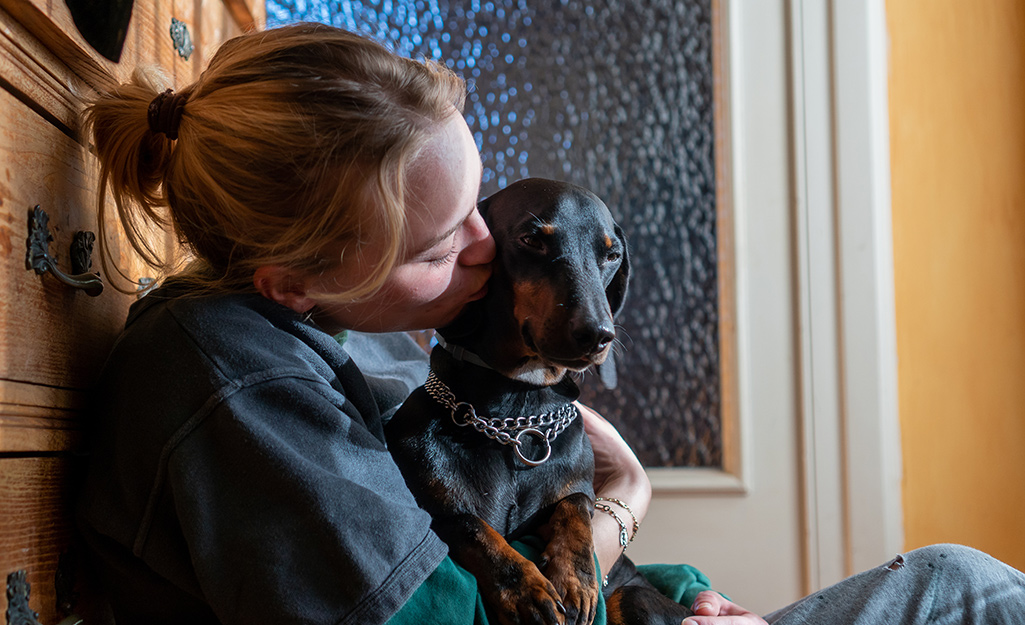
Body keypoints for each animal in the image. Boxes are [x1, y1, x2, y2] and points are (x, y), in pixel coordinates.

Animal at [385, 177, 697, 618]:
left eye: (612, 254)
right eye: (532, 239)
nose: (598, 335)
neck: (519, 418)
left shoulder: (576, 488)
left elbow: (577, 503)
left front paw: (575, 577)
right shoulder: (436, 510)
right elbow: (467, 524)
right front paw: (524, 588)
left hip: (636, 595)